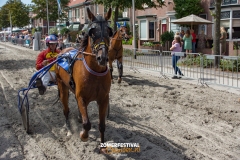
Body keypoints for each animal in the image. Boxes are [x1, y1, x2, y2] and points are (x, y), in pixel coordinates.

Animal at [54, 7, 112, 152]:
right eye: (92, 32)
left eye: (109, 31)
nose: (102, 58)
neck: (95, 73)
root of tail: (63, 51)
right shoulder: (81, 97)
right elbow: (87, 123)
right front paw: (83, 135)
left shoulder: (103, 99)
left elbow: (102, 125)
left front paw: (103, 146)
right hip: (62, 87)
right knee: (66, 110)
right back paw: (69, 129)